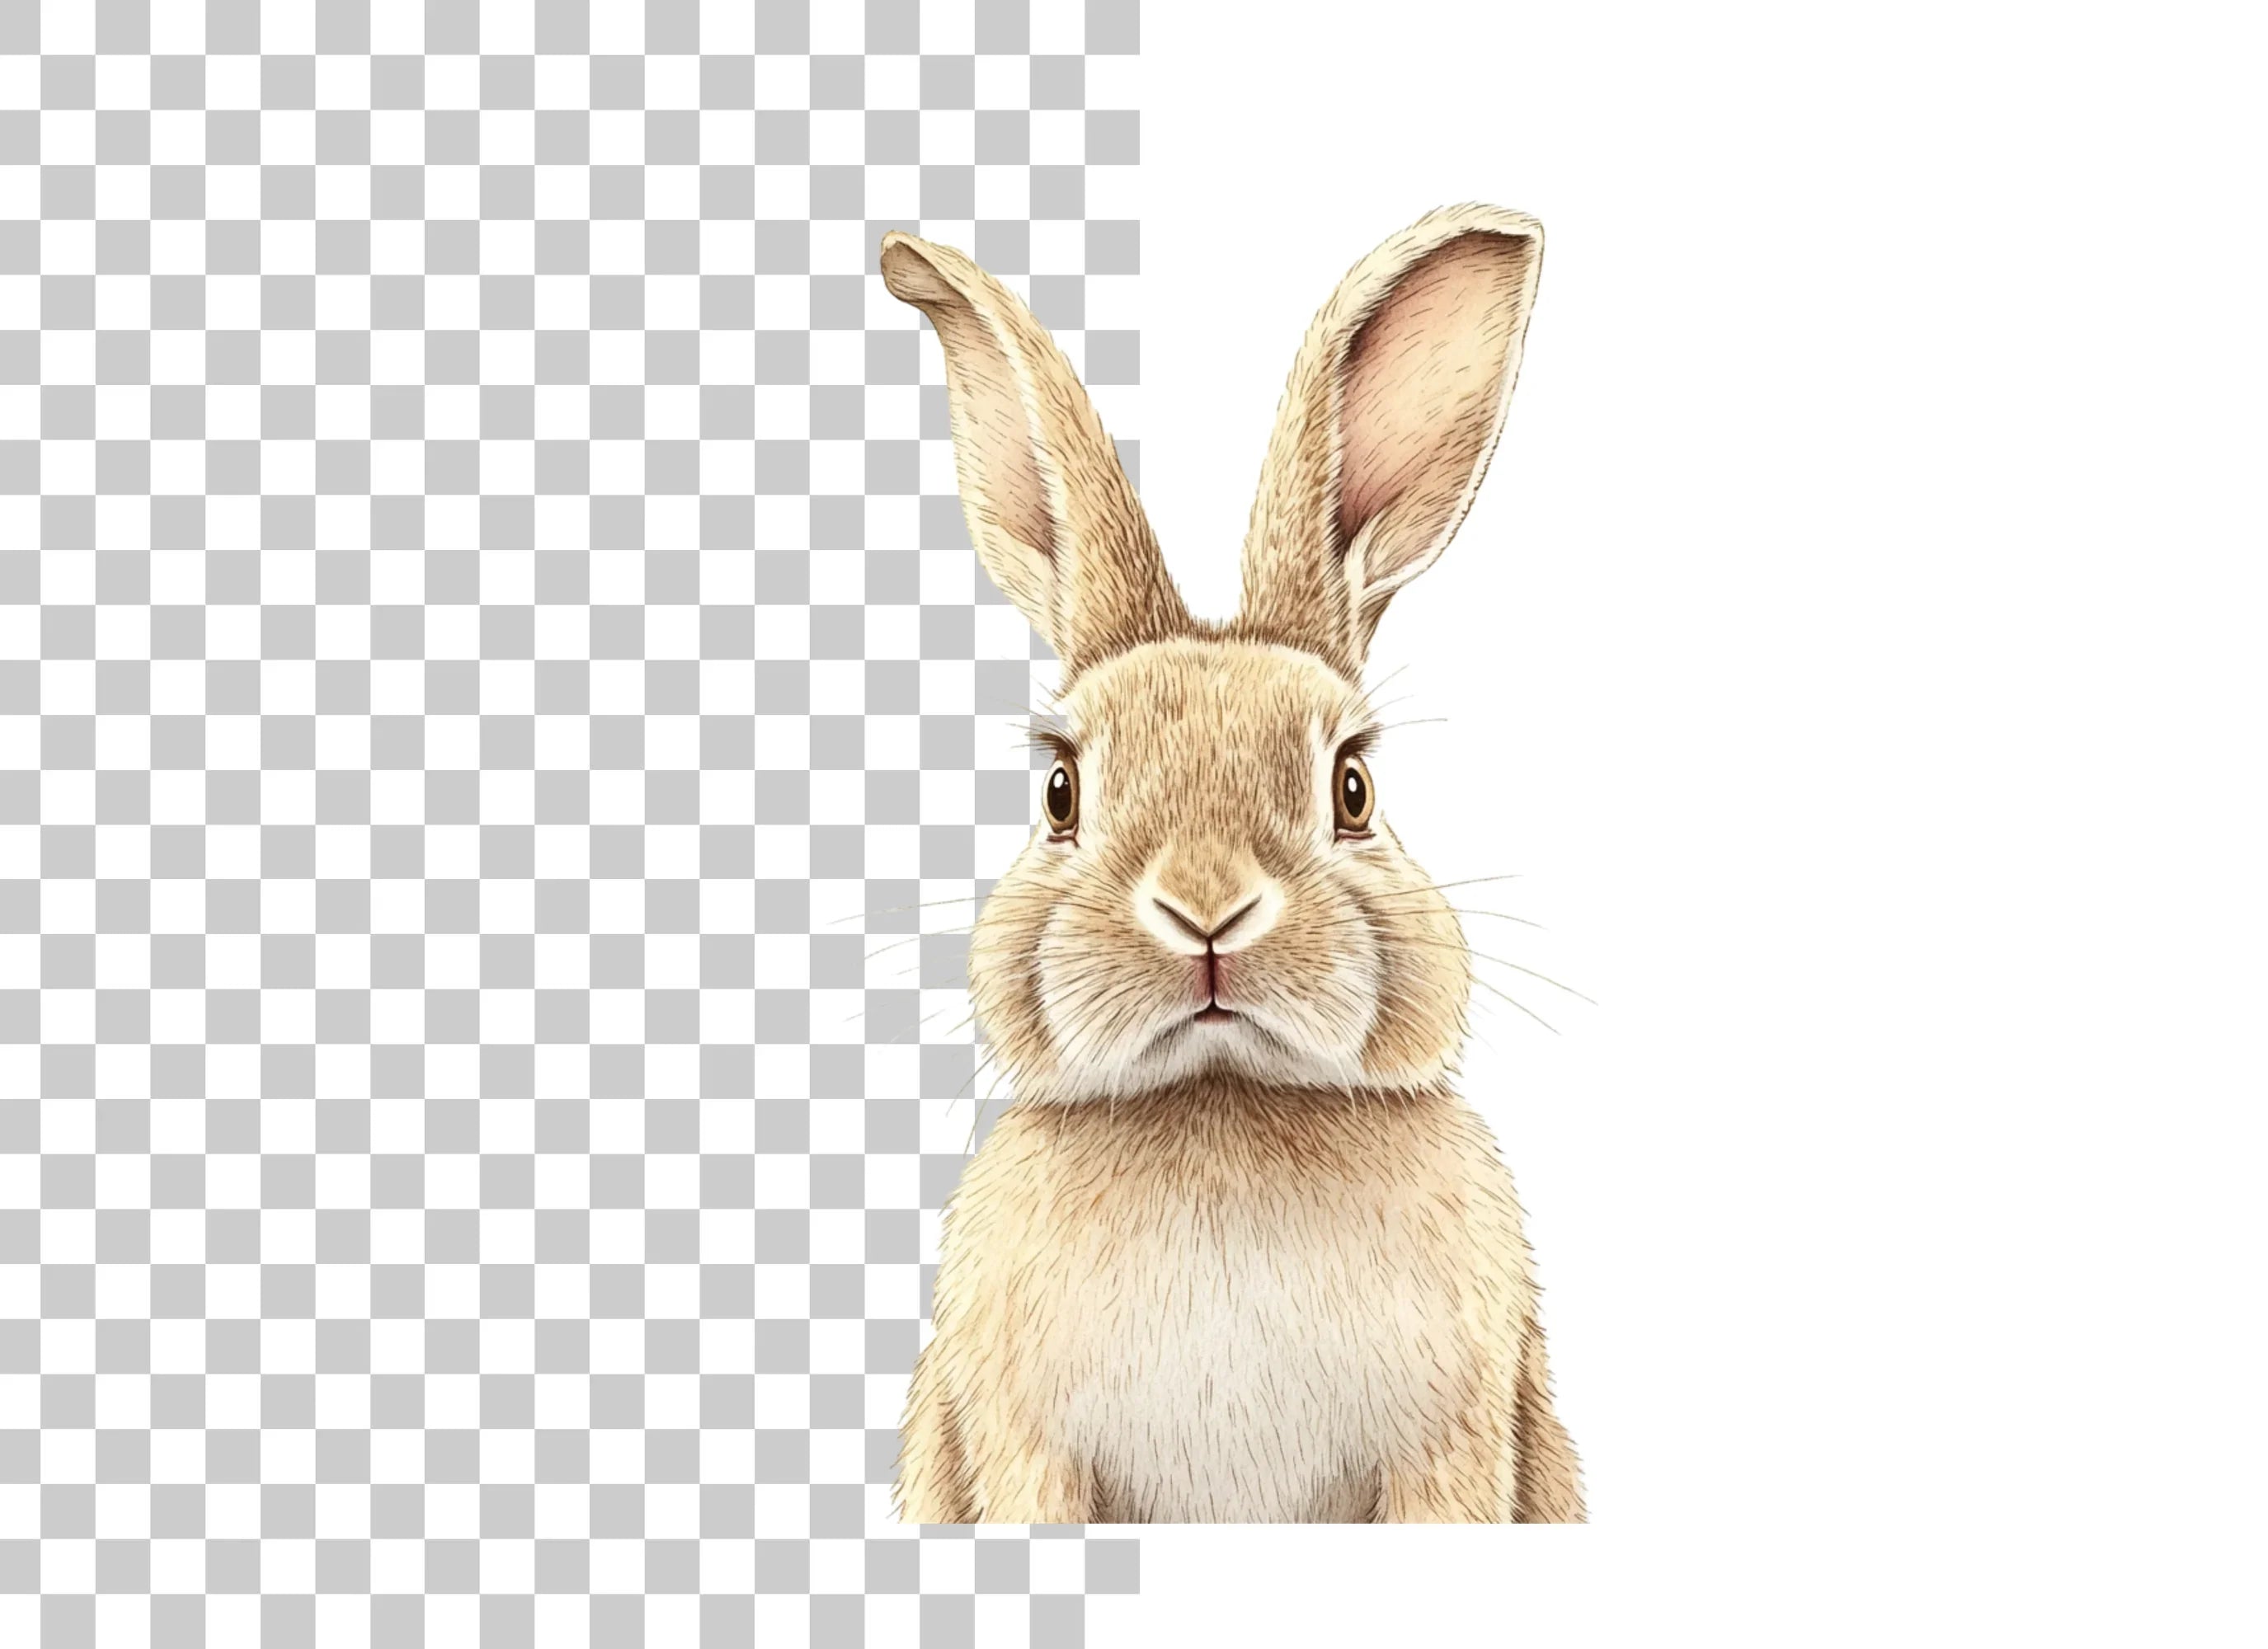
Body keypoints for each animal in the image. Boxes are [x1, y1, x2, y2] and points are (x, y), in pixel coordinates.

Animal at [880, 205, 1584, 1523]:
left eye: (1352, 788)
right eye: (1059, 792)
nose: (1206, 909)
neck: (1222, 1097)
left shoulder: (1453, 1448)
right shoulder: (1021, 1451)